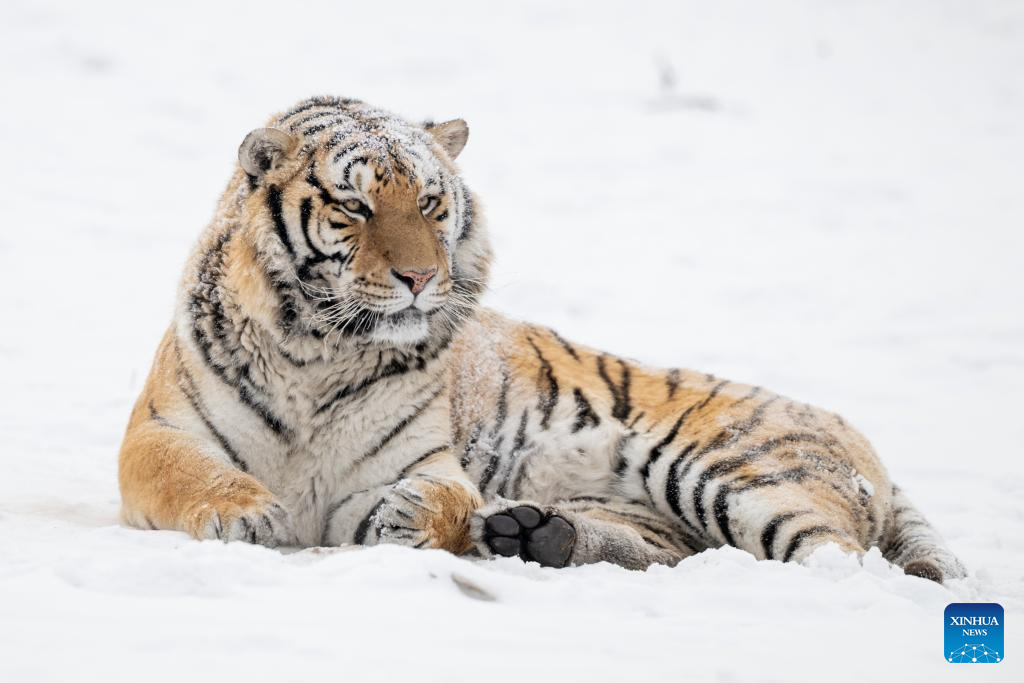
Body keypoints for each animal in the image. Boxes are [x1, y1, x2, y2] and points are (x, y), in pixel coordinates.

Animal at [119, 95, 966, 584]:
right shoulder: (160, 429)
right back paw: (532, 531)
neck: (318, 350)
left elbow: (440, 494)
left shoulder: (411, 460)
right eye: (355, 207)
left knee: (838, 555)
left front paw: (414, 518)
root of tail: (850, 431)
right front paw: (247, 515)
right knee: (670, 546)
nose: (419, 277)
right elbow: (186, 473)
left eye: (431, 204)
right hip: (663, 509)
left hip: (732, 467)